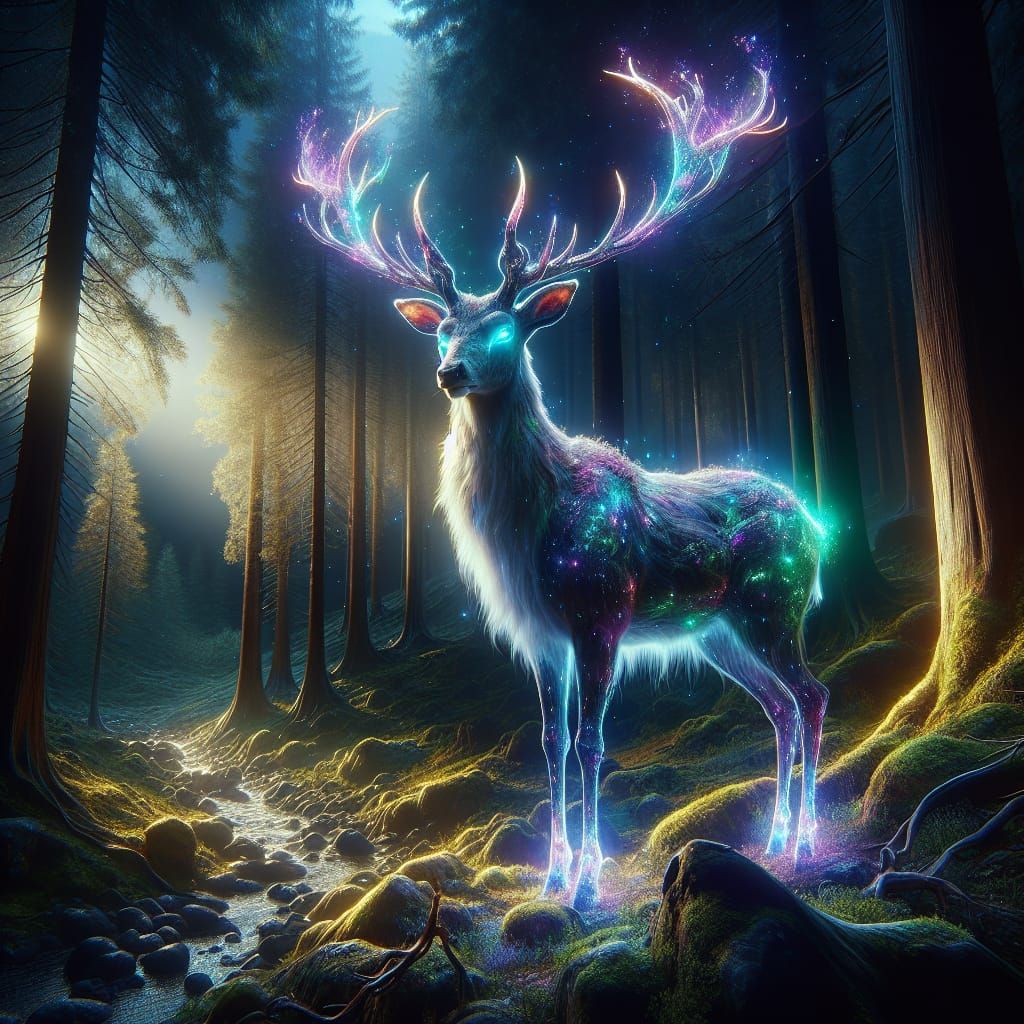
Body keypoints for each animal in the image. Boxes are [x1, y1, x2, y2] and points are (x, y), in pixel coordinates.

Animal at [296, 57, 828, 910]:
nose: (449, 371)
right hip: (720, 632)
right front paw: (550, 877)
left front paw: (584, 884)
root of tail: (817, 525)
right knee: (779, 706)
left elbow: (591, 742)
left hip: (771, 604)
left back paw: (808, 840)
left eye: (505, 329)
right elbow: (549, 743)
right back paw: (775, 839)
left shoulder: (601, 611)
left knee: (810, 696)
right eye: (444, 332)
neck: (530, 528)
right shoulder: (539, 634)